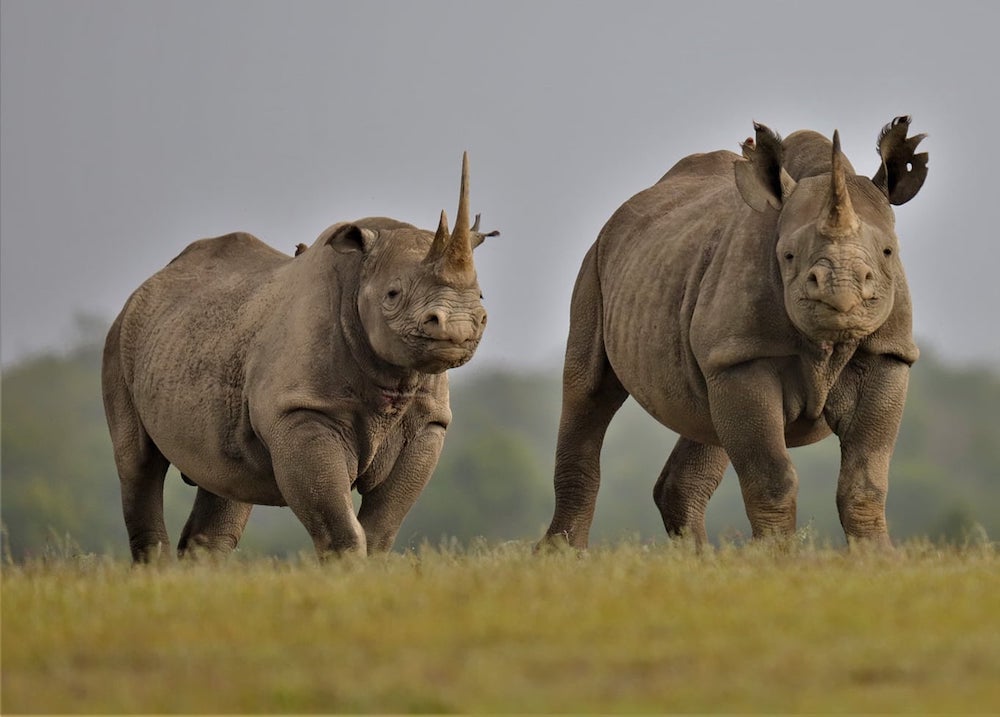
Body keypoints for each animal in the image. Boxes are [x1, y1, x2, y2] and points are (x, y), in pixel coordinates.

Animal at [102, 154, 497, 561]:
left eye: (481, 296)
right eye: (392, 294)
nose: (460, 326)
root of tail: (147, 286)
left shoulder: (428, 422)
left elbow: (382, 526)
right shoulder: (302, 411)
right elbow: (339, 525)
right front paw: (346, 570)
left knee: (225, 476)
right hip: (120, 340)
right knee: (138, 464)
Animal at [539, 117, 928, 549]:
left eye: (888, 252)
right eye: (788, 256)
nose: (840, 293)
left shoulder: (888, 353)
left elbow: (865, 478)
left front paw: (877, 557)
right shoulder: (743, 356)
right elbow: (771, 475)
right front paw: (772, 558)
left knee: (704, 417)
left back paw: (700, 559)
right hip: (596, 264)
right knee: (588, 391)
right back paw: (560, 555)